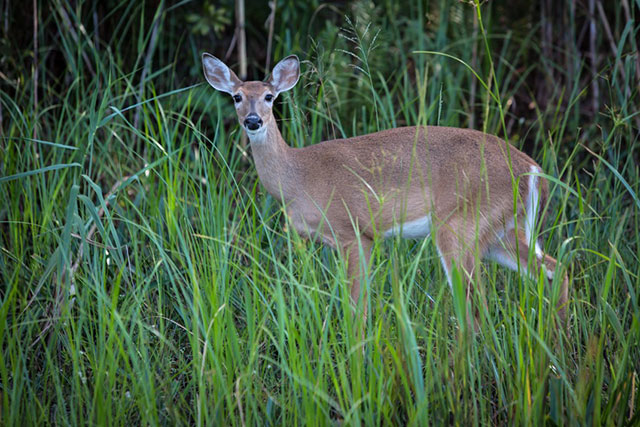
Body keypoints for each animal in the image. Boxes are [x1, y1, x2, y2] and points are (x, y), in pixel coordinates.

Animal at [201, 52, 568, 332]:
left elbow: (357, 310)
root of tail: (532, 169)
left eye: (269, 97)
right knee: (554, 269)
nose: (252, 121)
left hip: (459, 227)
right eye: (236, 96)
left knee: (474, 314)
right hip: (501, 231)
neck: (297, 178)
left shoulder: (355, 233)